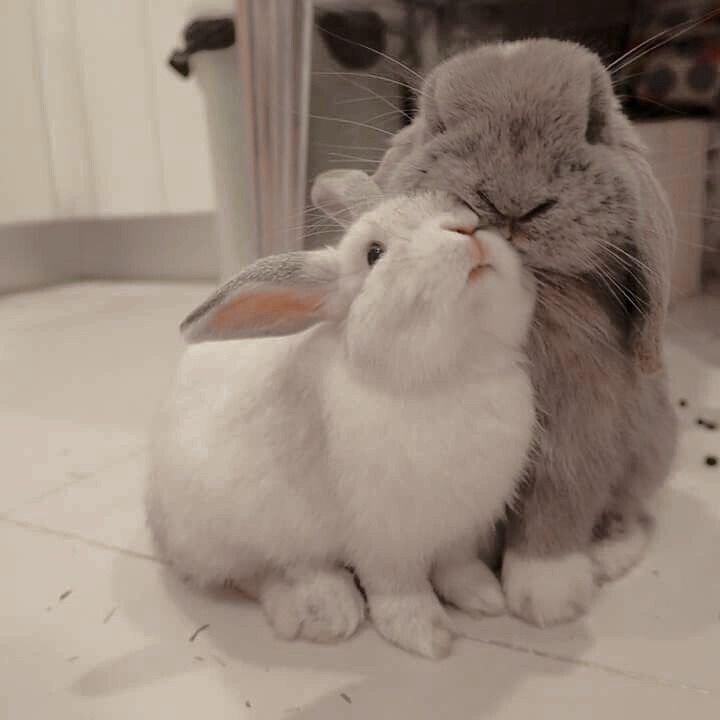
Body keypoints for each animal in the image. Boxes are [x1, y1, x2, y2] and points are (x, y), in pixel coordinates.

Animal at [146, 173, 537, 658]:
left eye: (463, 209)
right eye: (374, 254)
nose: (467, 228)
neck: (455, 373)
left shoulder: (462, 527)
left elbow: (458, 566)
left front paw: (485, 597)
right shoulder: (384, 539)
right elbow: (400, 589)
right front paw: (428, 635)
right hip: (224, 532)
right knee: (261, 572)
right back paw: (325, 609)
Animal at [313, 39, 678, 627]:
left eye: (594, 123)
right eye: (436, 121)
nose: (512, 203)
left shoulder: (580, 434)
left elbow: (559, 503)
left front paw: (546, 598)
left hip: (651, 445)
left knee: (633, 513)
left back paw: (604, 556)